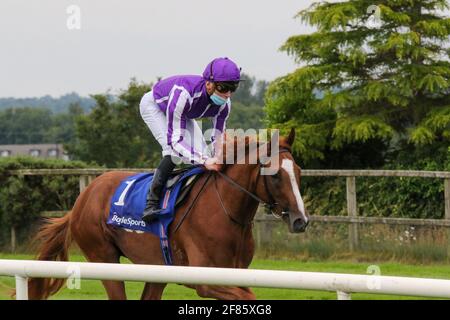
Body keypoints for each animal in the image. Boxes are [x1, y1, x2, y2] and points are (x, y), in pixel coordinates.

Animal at [26, 128, 308, 300]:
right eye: (275, 175)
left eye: (298, 170)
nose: (300, 221)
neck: (227, 212)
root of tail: (81, 201)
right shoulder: (205, 281)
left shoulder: (236, 274)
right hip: (103, 258)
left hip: (156, 269)